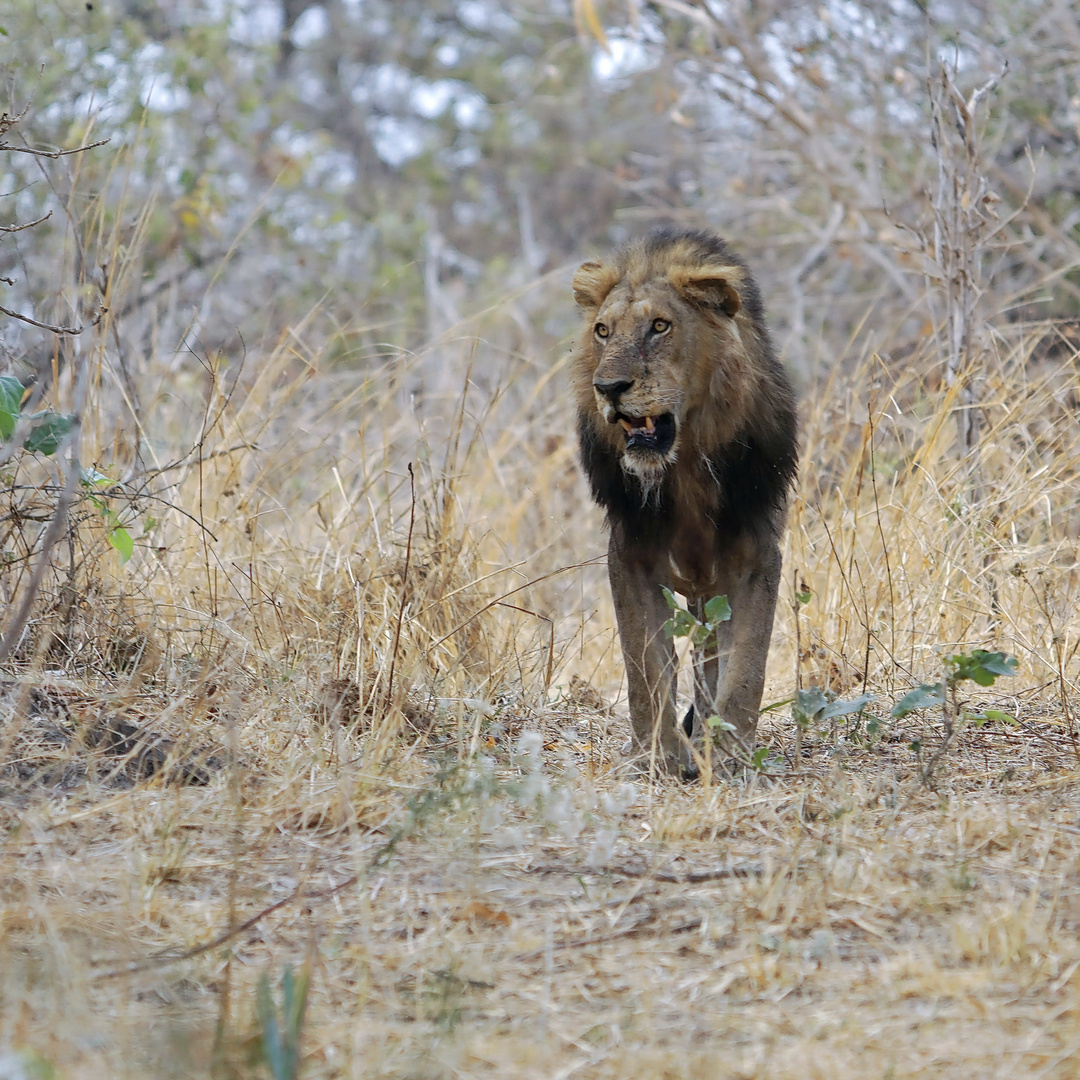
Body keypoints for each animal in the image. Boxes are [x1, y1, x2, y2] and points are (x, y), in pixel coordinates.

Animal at [570, 223, 799, 773]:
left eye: (660, 326)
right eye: (602, 331)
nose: (609, 386)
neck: (685, 464)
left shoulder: (758, 555)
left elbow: (746, 667)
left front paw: (733, 756)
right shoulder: (628, 553)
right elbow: (646, 669)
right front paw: (659, 756)